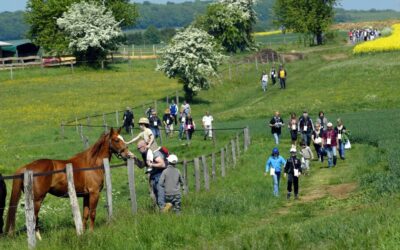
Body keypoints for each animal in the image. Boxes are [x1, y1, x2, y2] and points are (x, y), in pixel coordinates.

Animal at [3, 128, 134, 237]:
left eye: (123, 138)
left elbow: (85, 215)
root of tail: (26, 168)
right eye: (116, 140)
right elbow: (92, 213)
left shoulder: (86, 195)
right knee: (33, 218)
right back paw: (38, 238)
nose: (128, 155)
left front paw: (83, 232)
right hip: (37, 200)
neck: (91, 164)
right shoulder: (94, 193)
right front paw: (91, 232)